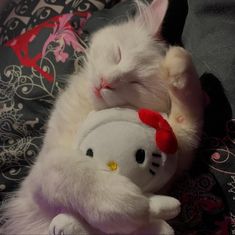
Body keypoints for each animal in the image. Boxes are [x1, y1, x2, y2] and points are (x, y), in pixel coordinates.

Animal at [0, 0, 205, 234]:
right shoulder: (40, 175)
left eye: (137, 83)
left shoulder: (177, 155)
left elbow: (189, 122)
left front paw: (180, 69)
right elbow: (71, 171)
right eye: (118, 54)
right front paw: (124, 202)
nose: (107, 82)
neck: (88, 110)